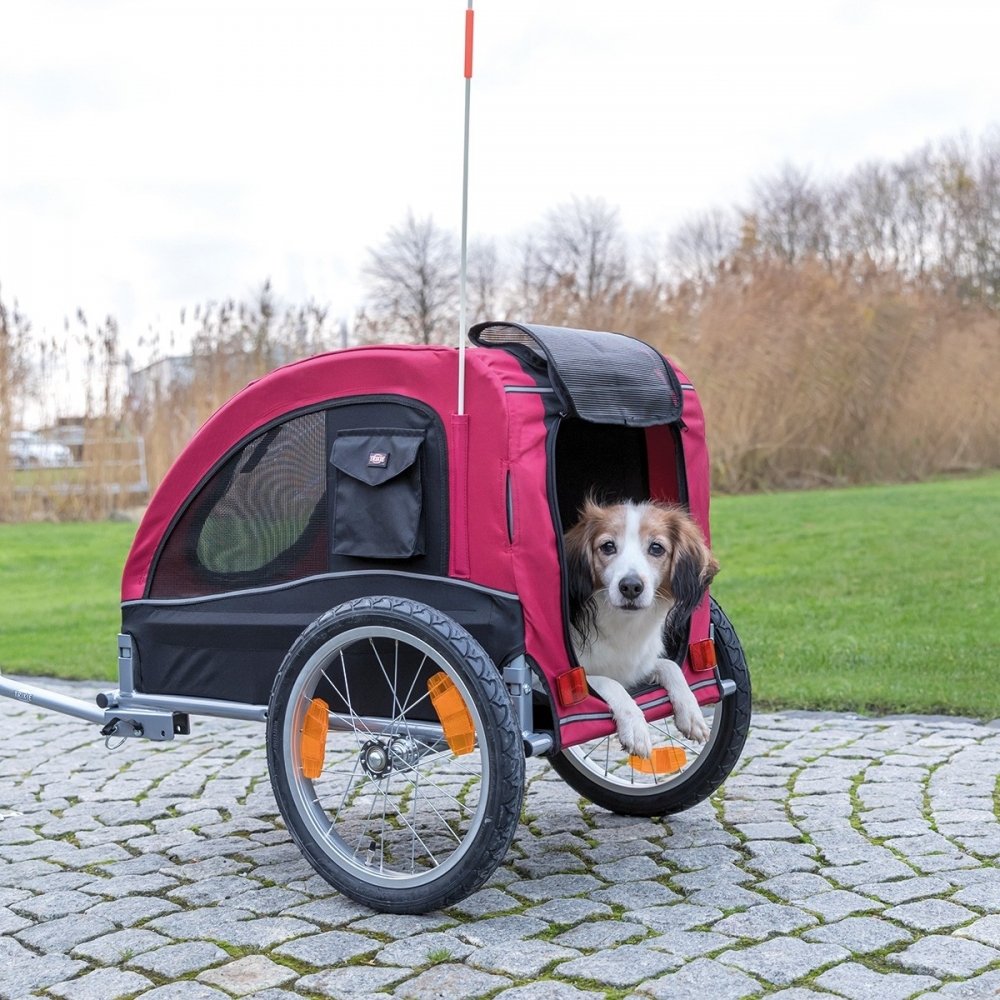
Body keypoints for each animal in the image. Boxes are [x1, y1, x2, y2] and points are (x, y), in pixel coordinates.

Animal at [564, 500, 720, 756]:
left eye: (656, 548)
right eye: (608, 546)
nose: (630, 586)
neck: (623, 624)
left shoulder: (638, 666)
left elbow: (670, 666)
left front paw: (691, 713)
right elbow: (611, 682)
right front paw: (636, 728)